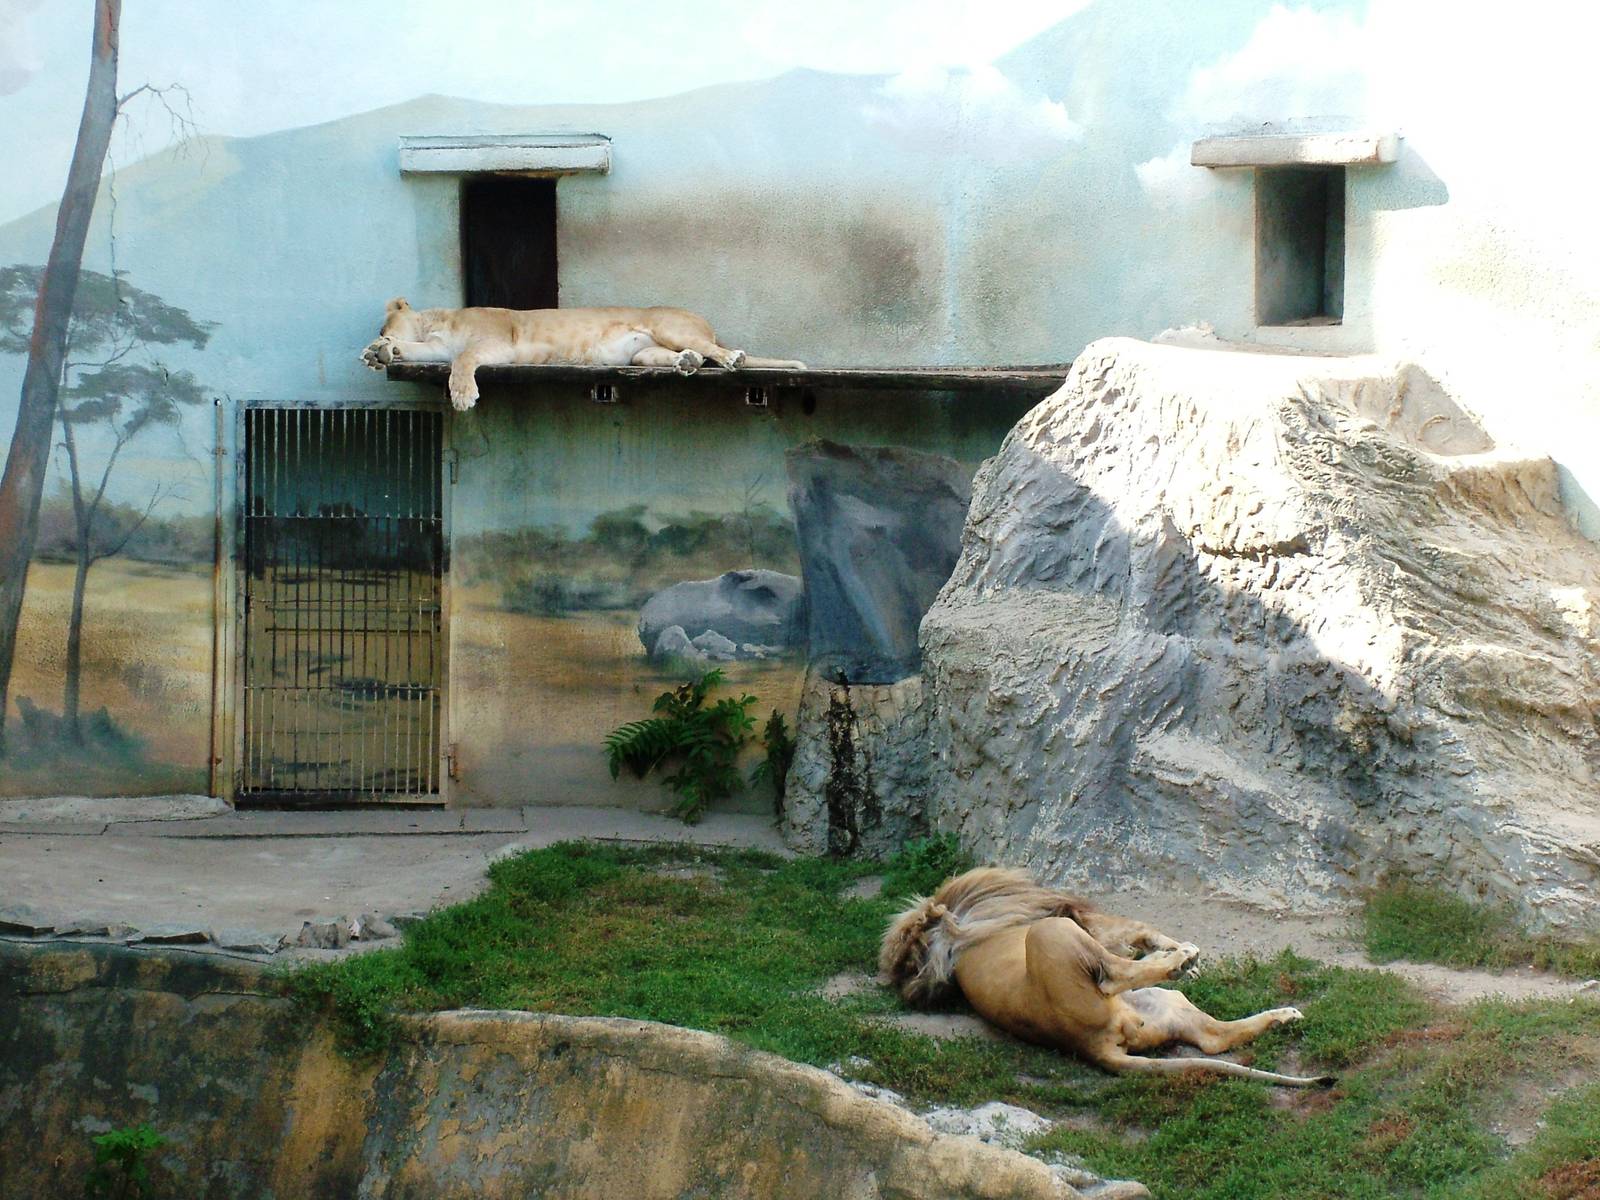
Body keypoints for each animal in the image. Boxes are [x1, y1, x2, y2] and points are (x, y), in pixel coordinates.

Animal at [361, 298, 807, 410]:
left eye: (381, 324)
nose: (376, 338)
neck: (436, 322)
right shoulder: (434, 347)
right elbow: (423, 352)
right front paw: (381, 353)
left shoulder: (497, 344)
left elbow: (462, 360)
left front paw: (463, 395)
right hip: (643, 357)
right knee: (682, 357)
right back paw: (688, 364)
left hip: (671, 327)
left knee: (719, 350)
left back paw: (730, 359)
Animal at [880, 867, 1333, 1087]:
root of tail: (1089, 1046)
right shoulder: (1069, 918)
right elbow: (1129, 931)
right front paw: (1175, 951)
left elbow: (1132, 932)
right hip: (1054, 932)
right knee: (1116, 974)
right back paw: (1180, 958)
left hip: (1162, 1002)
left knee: (1213, 1038)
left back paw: (1283, 1015)